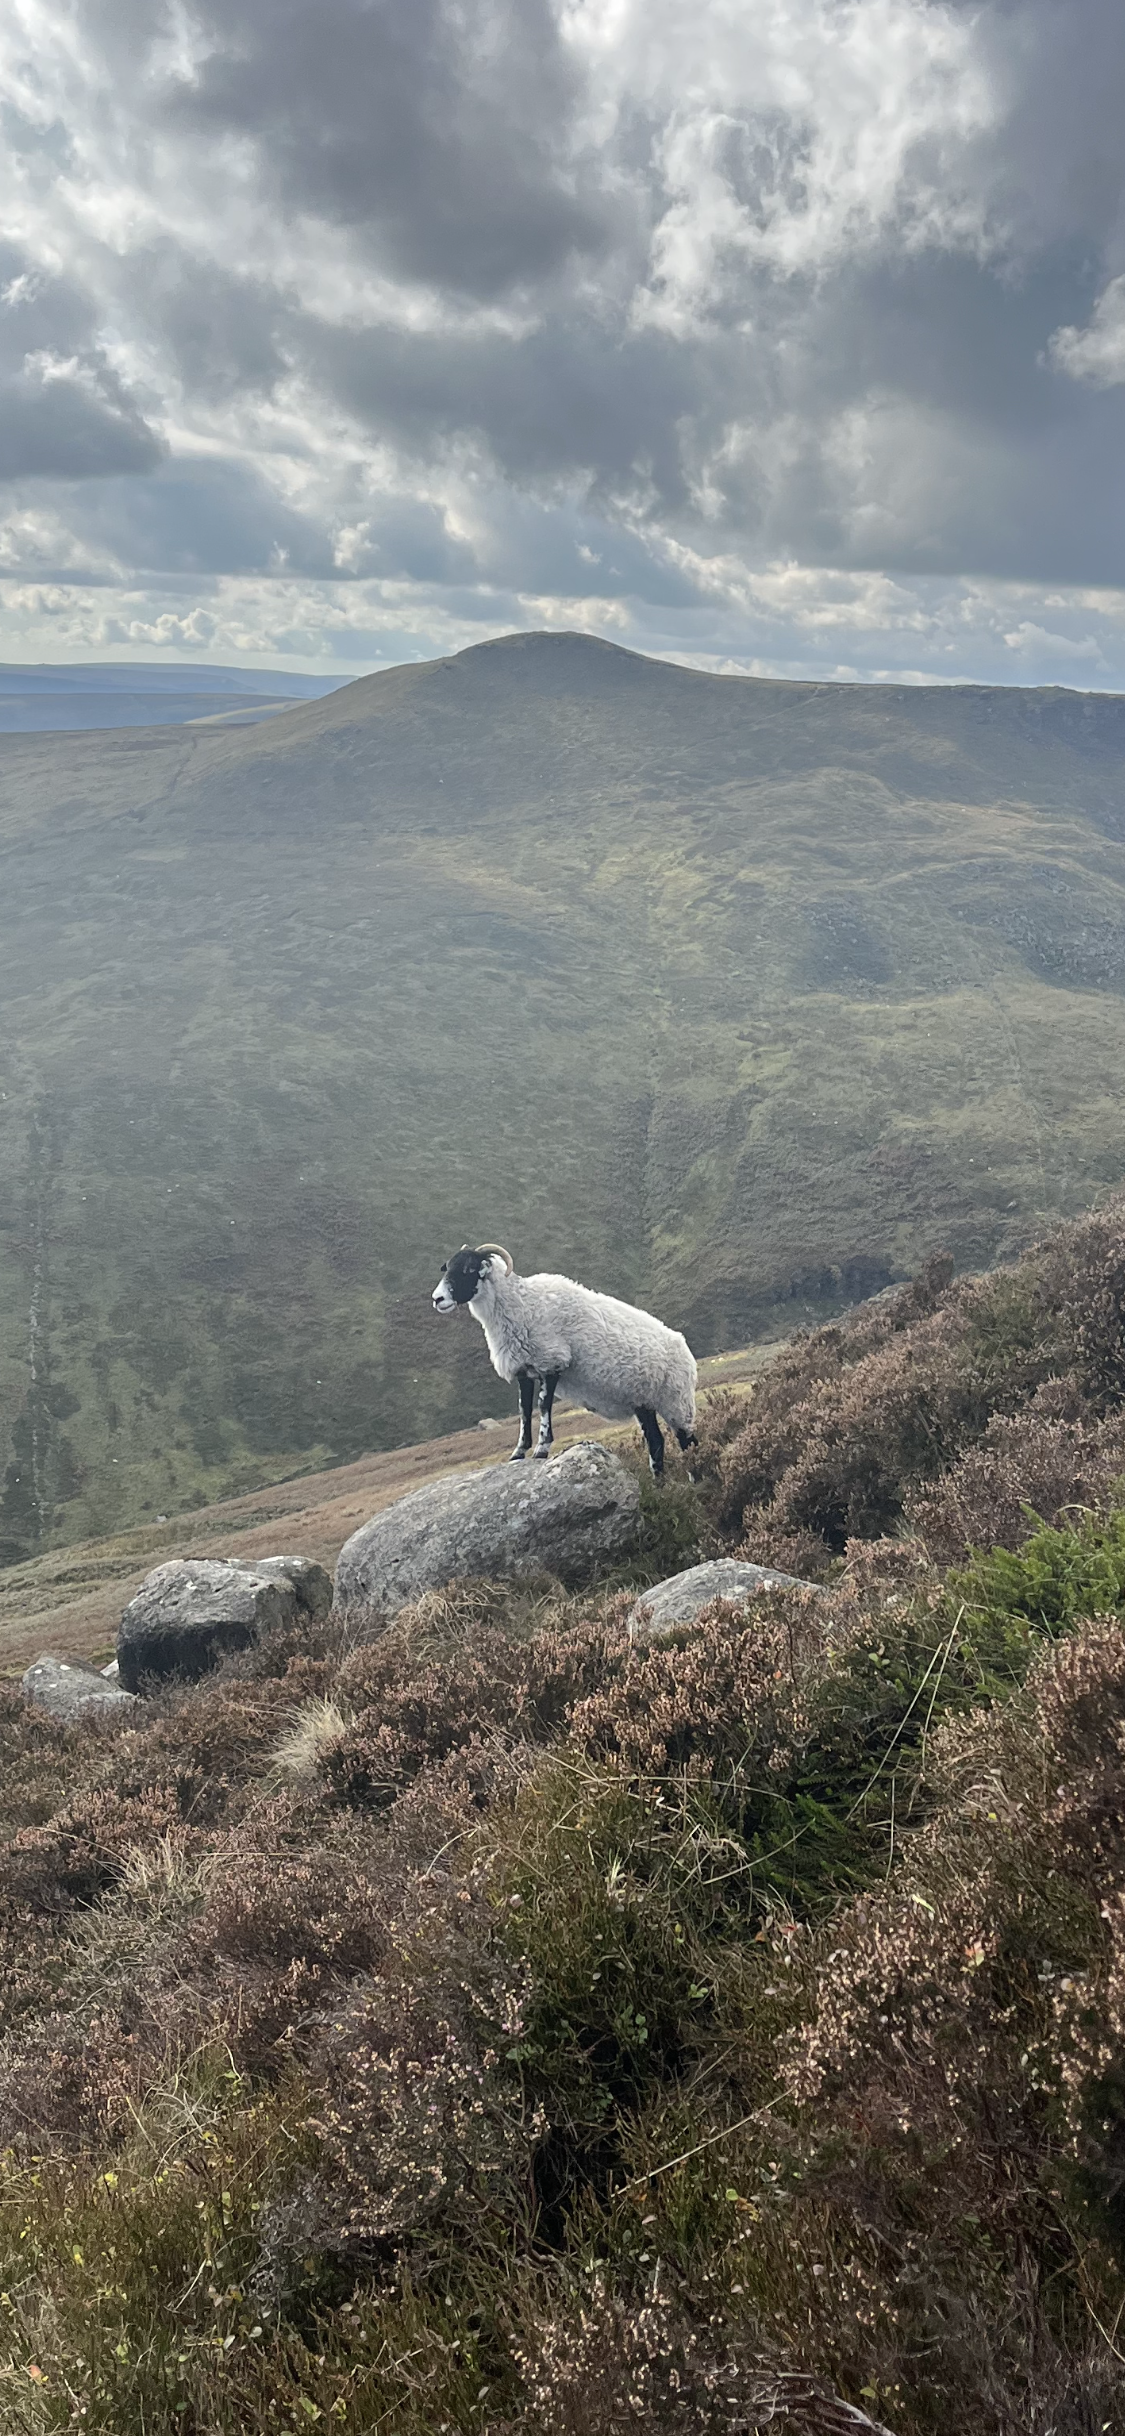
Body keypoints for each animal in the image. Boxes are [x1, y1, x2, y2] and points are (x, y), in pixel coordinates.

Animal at [431, 1242, 697, 1477]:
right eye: (448, 1267)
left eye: (468, 1268)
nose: (437, 1299)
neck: (521, 1304)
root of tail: (685, 1348)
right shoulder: (523, 1369)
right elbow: (524, 1411)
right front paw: (518, 1453)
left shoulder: (552, 1362)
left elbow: (542, 1406)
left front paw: (541, 1449)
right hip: (644, 1402)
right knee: (656, 1442)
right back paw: (659, 1485)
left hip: (676, 1401)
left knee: (689, 1442)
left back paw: (696, 1480)